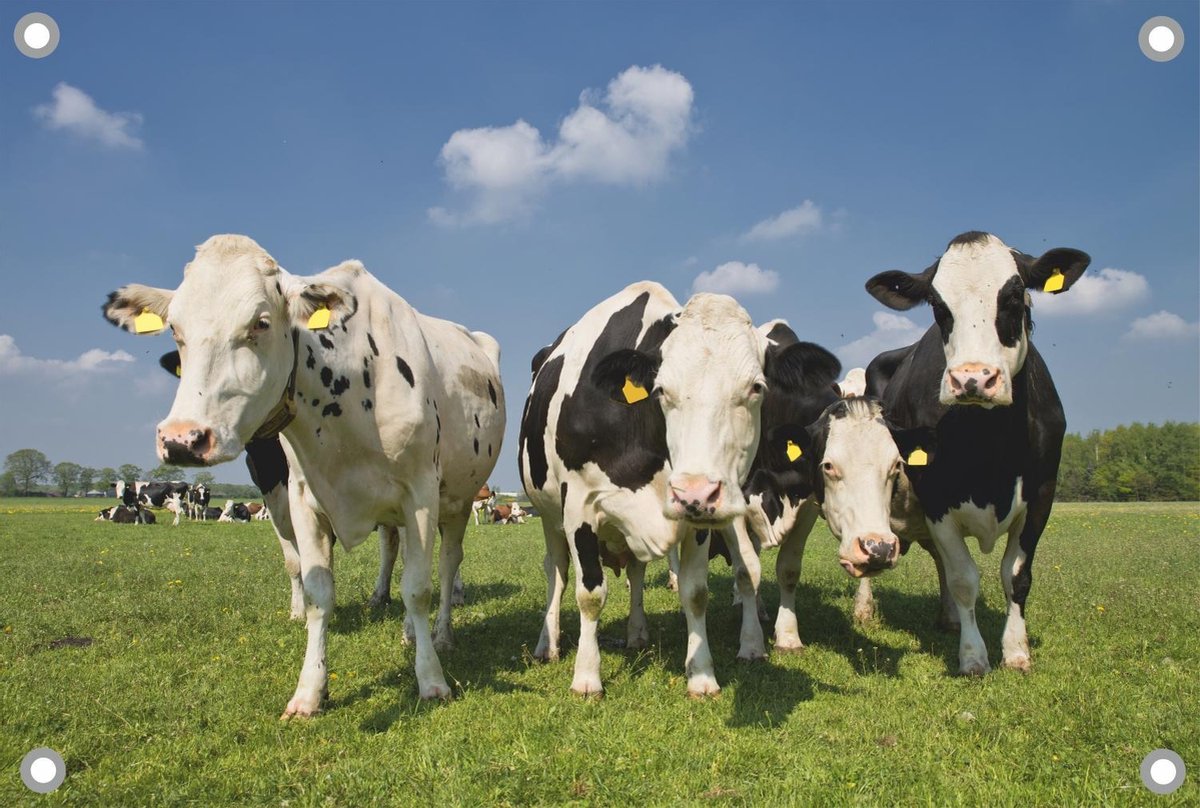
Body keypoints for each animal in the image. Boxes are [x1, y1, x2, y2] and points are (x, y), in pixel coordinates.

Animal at [104, 234, 504, 715]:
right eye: (176, 331)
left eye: (260, 322)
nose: (183, 439)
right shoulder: (301, 500)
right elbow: (318, 592)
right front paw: (310, 691)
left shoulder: (421, 494)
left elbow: (418, 589)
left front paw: (431, 680)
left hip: (458, 501)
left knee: (446, 567)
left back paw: (441, 635)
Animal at [519, 281, 839, 696]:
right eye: (660, 390)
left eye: (756, 387)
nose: (696, 493)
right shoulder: (579, 507)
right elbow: (590, 594)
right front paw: (587, 678)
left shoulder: (698, 519)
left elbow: (695, 592)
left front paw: (702, 676)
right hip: (548, 516)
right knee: (556, 573)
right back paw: (548, 644)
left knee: (636, 572)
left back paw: (637, 634)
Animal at [862, 230, 1089, 675]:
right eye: (938, 306)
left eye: (1015, 297)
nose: (973, 379)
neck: (992, 444)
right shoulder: (935, 497)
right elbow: (964, 578)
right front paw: (973, 656)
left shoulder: (1042, 494)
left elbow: (1016, 575)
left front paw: (1016, 651)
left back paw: (949, 618)